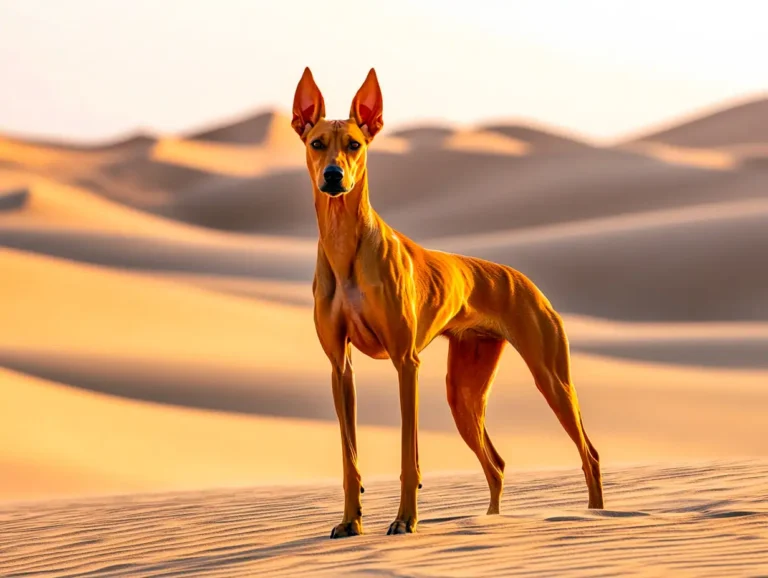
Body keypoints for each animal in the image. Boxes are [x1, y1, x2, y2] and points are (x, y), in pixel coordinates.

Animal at [292, 66, 604, 536]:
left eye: (354, 145)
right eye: (317, 143)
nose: (333, 177)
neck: (345, 245)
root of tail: (525, 280)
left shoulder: (406, 362)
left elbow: (409, 455)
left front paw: (405, 519)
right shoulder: (339, 366)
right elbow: (350, 459)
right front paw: (350, 522)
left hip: (551, 377)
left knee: (590, 455)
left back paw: (596, 517)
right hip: (464, 392)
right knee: (496, 465)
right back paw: (492, 520)